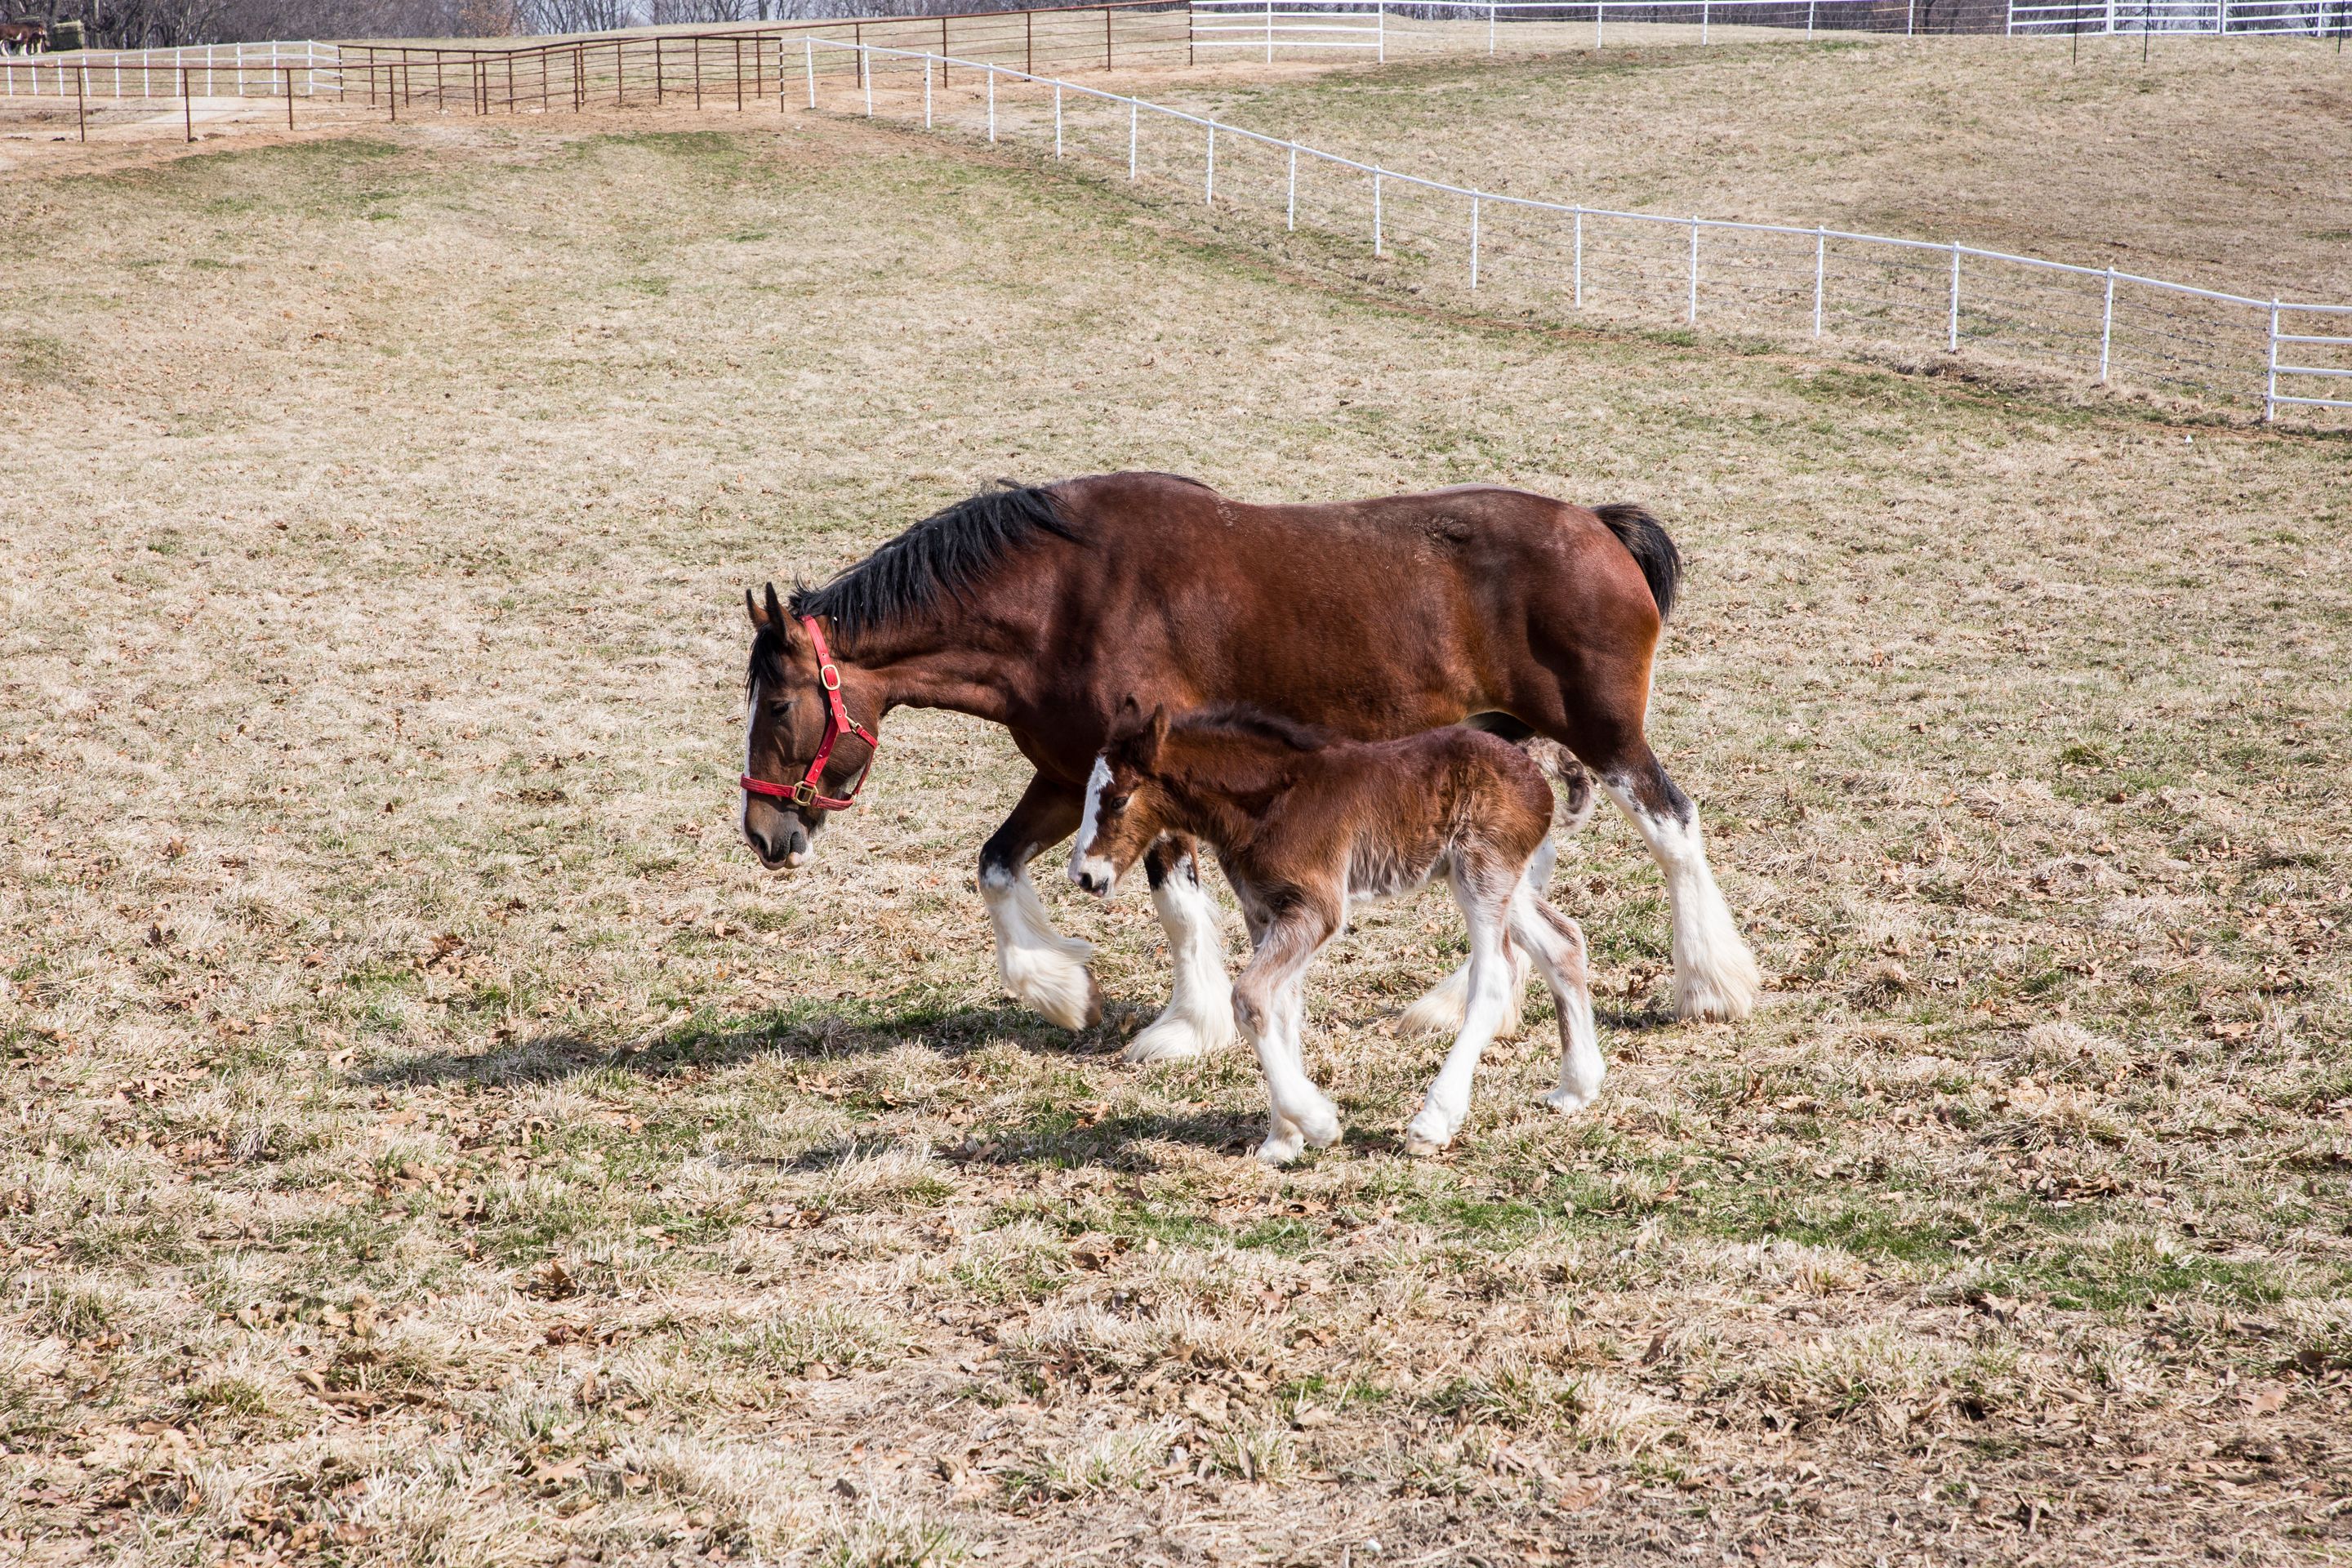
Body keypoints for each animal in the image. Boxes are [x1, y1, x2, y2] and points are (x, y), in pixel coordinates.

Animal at [743, 472, 1759, 1062]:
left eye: (779, 705)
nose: (765, 832)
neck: (1059, 601)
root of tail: (1597, 524)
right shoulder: (1072, 779)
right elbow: (996, 867)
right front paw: (1063, 988)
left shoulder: (1145, 782)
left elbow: (1177, 904)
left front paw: (1185, 1028)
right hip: (1510, 738)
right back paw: (1468, 1003)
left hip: (1605, 735)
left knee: (1673, 826)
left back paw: (1711, 984)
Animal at [1067, 705, 1599, 1161]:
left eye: (1118, 799)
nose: (1085, 876)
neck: (1268, 805)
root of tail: (1530, 760)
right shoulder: (1266, 915)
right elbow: (1281, 1010)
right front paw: (1282, 1141)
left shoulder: (1316, 909)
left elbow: (1250, 999)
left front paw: (1318, 1123)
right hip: (1497, 879)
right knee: (1564, 943)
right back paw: (1578, 1087)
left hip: (1482, 873)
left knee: (1494, 976)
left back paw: (1434, 1122)